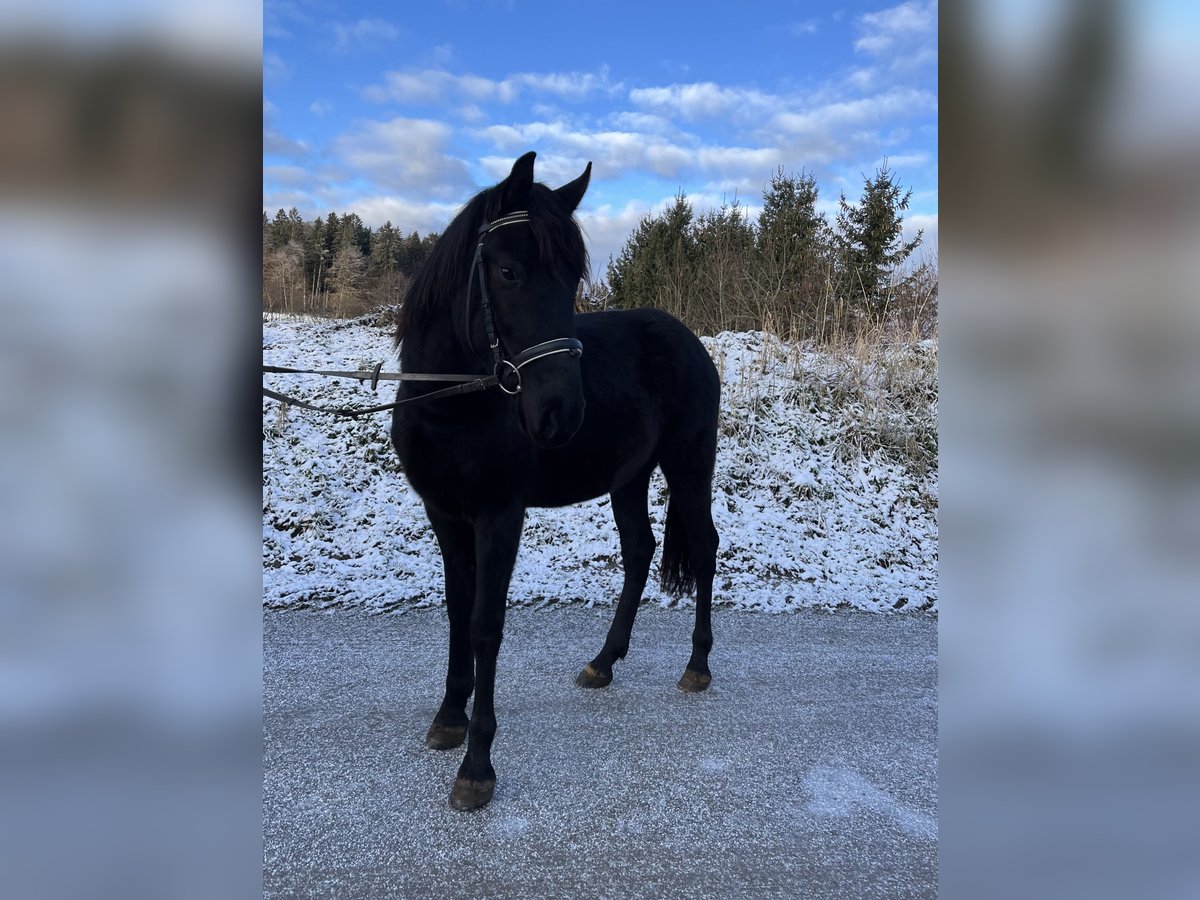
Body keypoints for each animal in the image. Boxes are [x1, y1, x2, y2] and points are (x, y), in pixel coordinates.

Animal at [388, 151, 715, 816]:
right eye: (508, 272)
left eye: (572, 278)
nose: (561, 413)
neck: (451, 402)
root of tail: (691, 342)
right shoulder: (445, 514)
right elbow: (458, 612)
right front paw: (449, 718)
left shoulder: (499, 515)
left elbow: (486, 625)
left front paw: (477, 767)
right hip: (630, 478)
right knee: (640, 550)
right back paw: (603, 662)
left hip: (690, 468)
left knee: (706, 550)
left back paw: (697, 665)